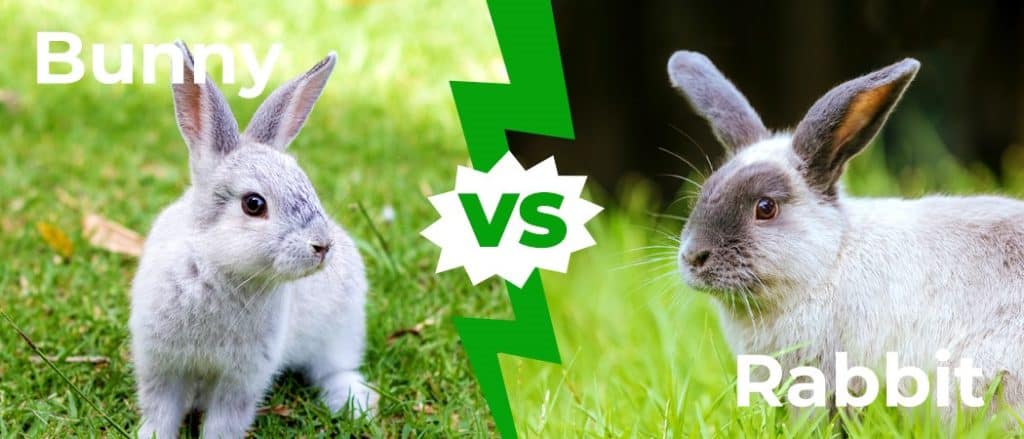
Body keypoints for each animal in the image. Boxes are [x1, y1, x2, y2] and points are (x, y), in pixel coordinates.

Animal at [129, 41, 376, 439]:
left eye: (307, 185)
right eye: (254, 204)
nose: (322, 246)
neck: (218, 269)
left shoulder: (242, 379)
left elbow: (224, 422)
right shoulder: (161, 364)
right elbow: (161, 411)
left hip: (342, 330)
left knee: (335, 368)